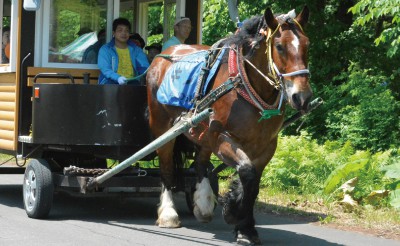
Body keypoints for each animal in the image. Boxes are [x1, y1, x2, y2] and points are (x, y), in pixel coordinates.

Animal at [147, 6, 312, 245]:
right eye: (280, 46)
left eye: (307, 45)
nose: (302, 97)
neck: (245, 84)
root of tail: (163, 55)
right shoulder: (222, 137)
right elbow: (247, 173)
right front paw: (235, 214)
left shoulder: (265, 146)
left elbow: (253, 183)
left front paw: (246, 228)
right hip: (163, 128)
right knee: (166, 167)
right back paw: (169, 213)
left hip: (202, 132)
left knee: (200, 163)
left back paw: (203, 203)